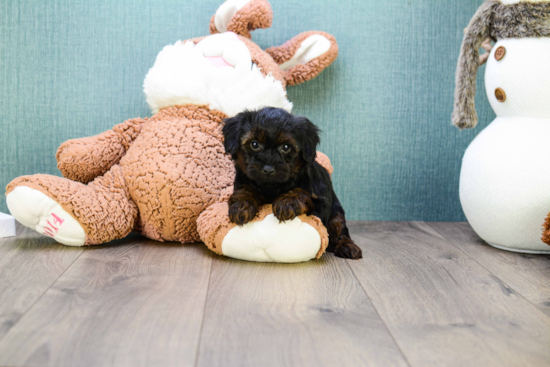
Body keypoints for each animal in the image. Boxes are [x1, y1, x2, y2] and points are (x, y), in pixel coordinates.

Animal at [222, 108, 364, 260]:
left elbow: (301, 193)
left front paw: (287, 202)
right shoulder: (245, 179)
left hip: (336, 212)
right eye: (254, 144)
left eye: (286, 147)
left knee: (339, 228)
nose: (268, 169)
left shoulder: (320, 205)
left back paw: (348, 246)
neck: (271, 187)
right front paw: (241, 205)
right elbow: (245, 189)